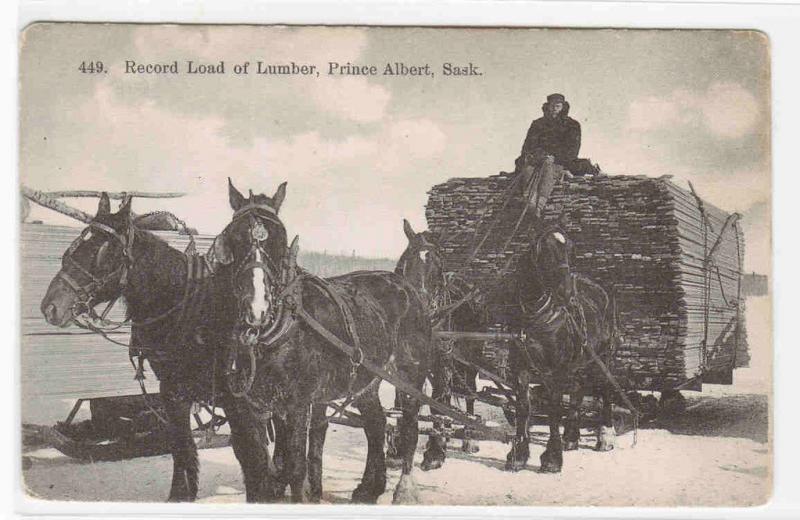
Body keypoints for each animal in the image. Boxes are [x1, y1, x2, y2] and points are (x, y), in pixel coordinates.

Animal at [39, 194, 238, 500]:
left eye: (102, 251)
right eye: (74, 246)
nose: (50, 307)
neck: (184, 307)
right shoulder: (170, 391)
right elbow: (180, 446)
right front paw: (179, 494)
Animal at [212, 180, 438, 504]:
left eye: (280, 240)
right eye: (234, 237)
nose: (257, 309)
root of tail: (409, 288)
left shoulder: (297, 405)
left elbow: (295, 467)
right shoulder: (246, 408)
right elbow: (257, 472)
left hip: (410, 374)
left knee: (408, 426)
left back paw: (403, 488)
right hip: (367, 380)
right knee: (376, 425)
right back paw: (370, 488)